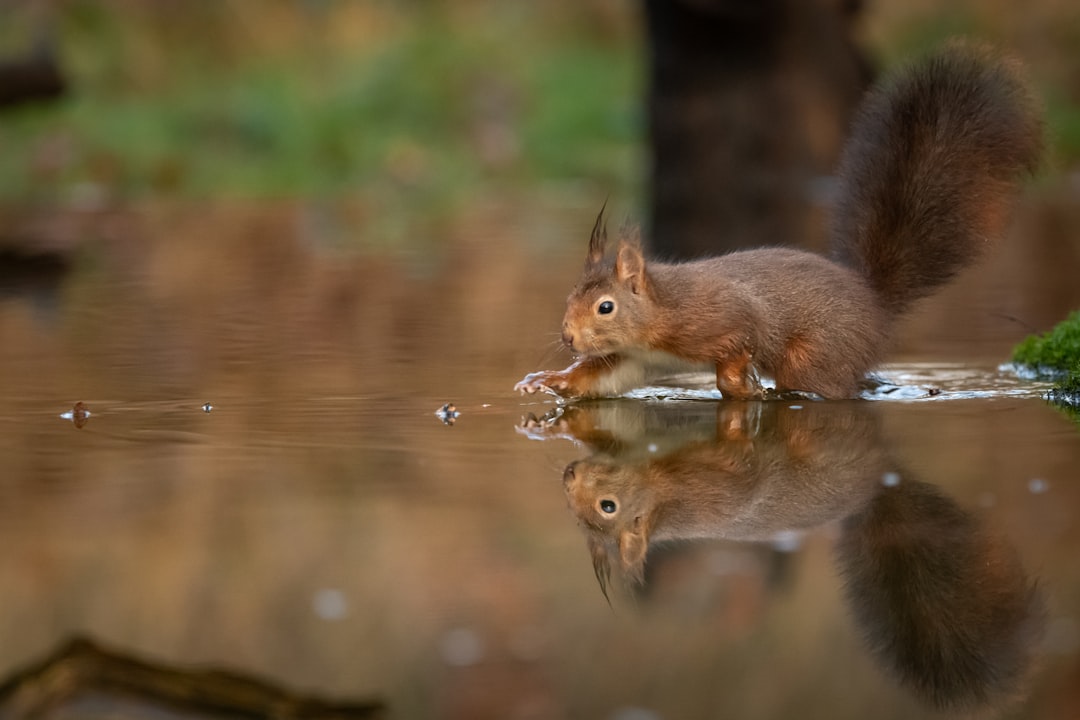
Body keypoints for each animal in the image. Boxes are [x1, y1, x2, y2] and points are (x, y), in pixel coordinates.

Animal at [518, 44, 1041, 399]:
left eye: (605, 307)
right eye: (570, 297)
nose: (567, 337)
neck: (658, 313)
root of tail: (872, 303)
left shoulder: (720, 317)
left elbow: (742, 337)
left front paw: (738, 382)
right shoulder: (634, 360)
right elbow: (599, 379)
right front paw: (546, 380)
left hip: (817, 356)